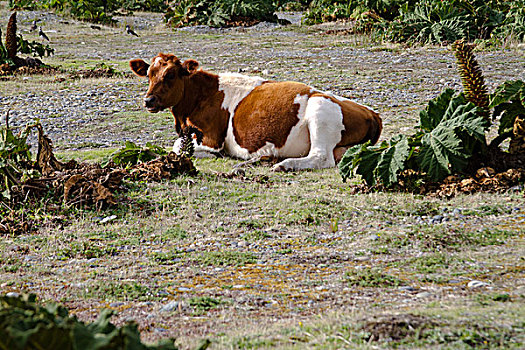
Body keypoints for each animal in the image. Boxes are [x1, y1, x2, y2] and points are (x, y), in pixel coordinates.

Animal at [128, 52, 378, 172]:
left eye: (170, 75)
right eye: (149, 74)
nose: (148, 100)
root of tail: (370, 112)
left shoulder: (212, 139)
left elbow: (179, 148)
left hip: (320, 109)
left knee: (322, 157)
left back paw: (285, 165)